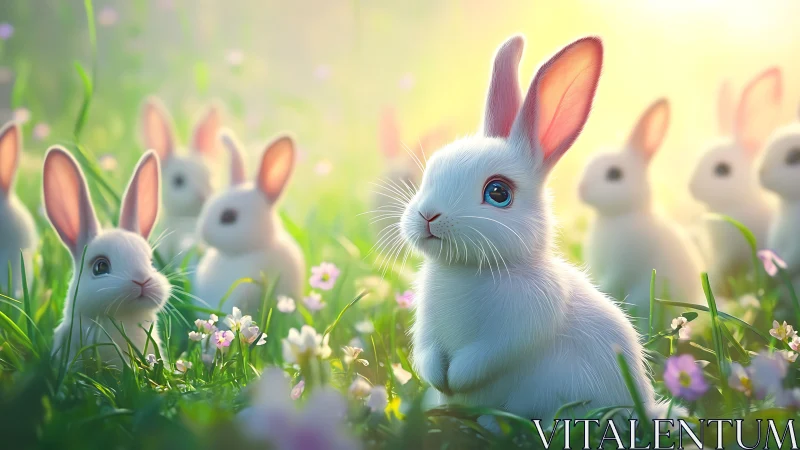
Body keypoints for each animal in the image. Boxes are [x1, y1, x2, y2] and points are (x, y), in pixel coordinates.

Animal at [399, 35, 675, 430]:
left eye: (498, 193)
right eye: (431, 171)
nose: (428, 216)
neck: (468, 270)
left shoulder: (521, 325)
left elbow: (487, 358)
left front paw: (458, 378)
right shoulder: (427, 331)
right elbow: (427, 355)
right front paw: (440, 379)